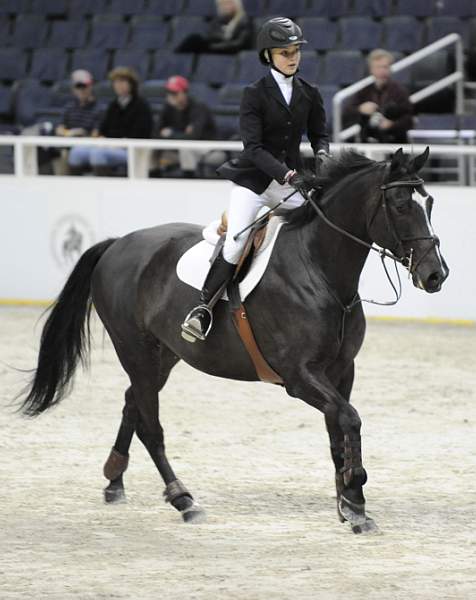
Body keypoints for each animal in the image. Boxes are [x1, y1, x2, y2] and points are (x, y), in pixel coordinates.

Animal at [19, 149, 450, 536]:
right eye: (399, 205)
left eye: (428, 202)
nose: (436, 275)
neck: (320, 270)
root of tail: (118, 243)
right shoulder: (300, 377)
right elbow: (350, 419)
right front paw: (355, 498)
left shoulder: (342, 371)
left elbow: (338, 432)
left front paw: (348, 504)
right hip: (135, 350)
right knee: (151, 426)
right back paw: (184, 500)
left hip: (163, 355)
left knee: (133, 405)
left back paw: (114, 480)